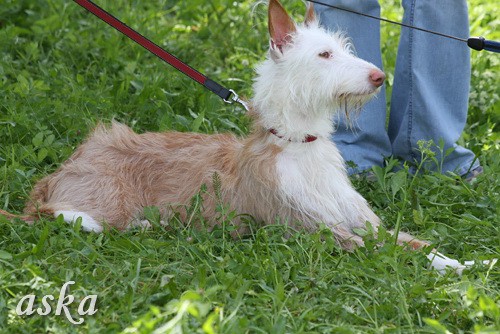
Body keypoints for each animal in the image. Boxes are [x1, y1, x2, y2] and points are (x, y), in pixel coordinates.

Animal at [21, 0, 490, 274]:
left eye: (343, 49)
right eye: (324, 54)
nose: (379, 76)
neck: (298, 145)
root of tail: (67, 165)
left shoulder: (360, 221)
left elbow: (413, 242)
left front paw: (468, 261)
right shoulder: (319, 232)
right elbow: (395, 252)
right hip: (105, 203)